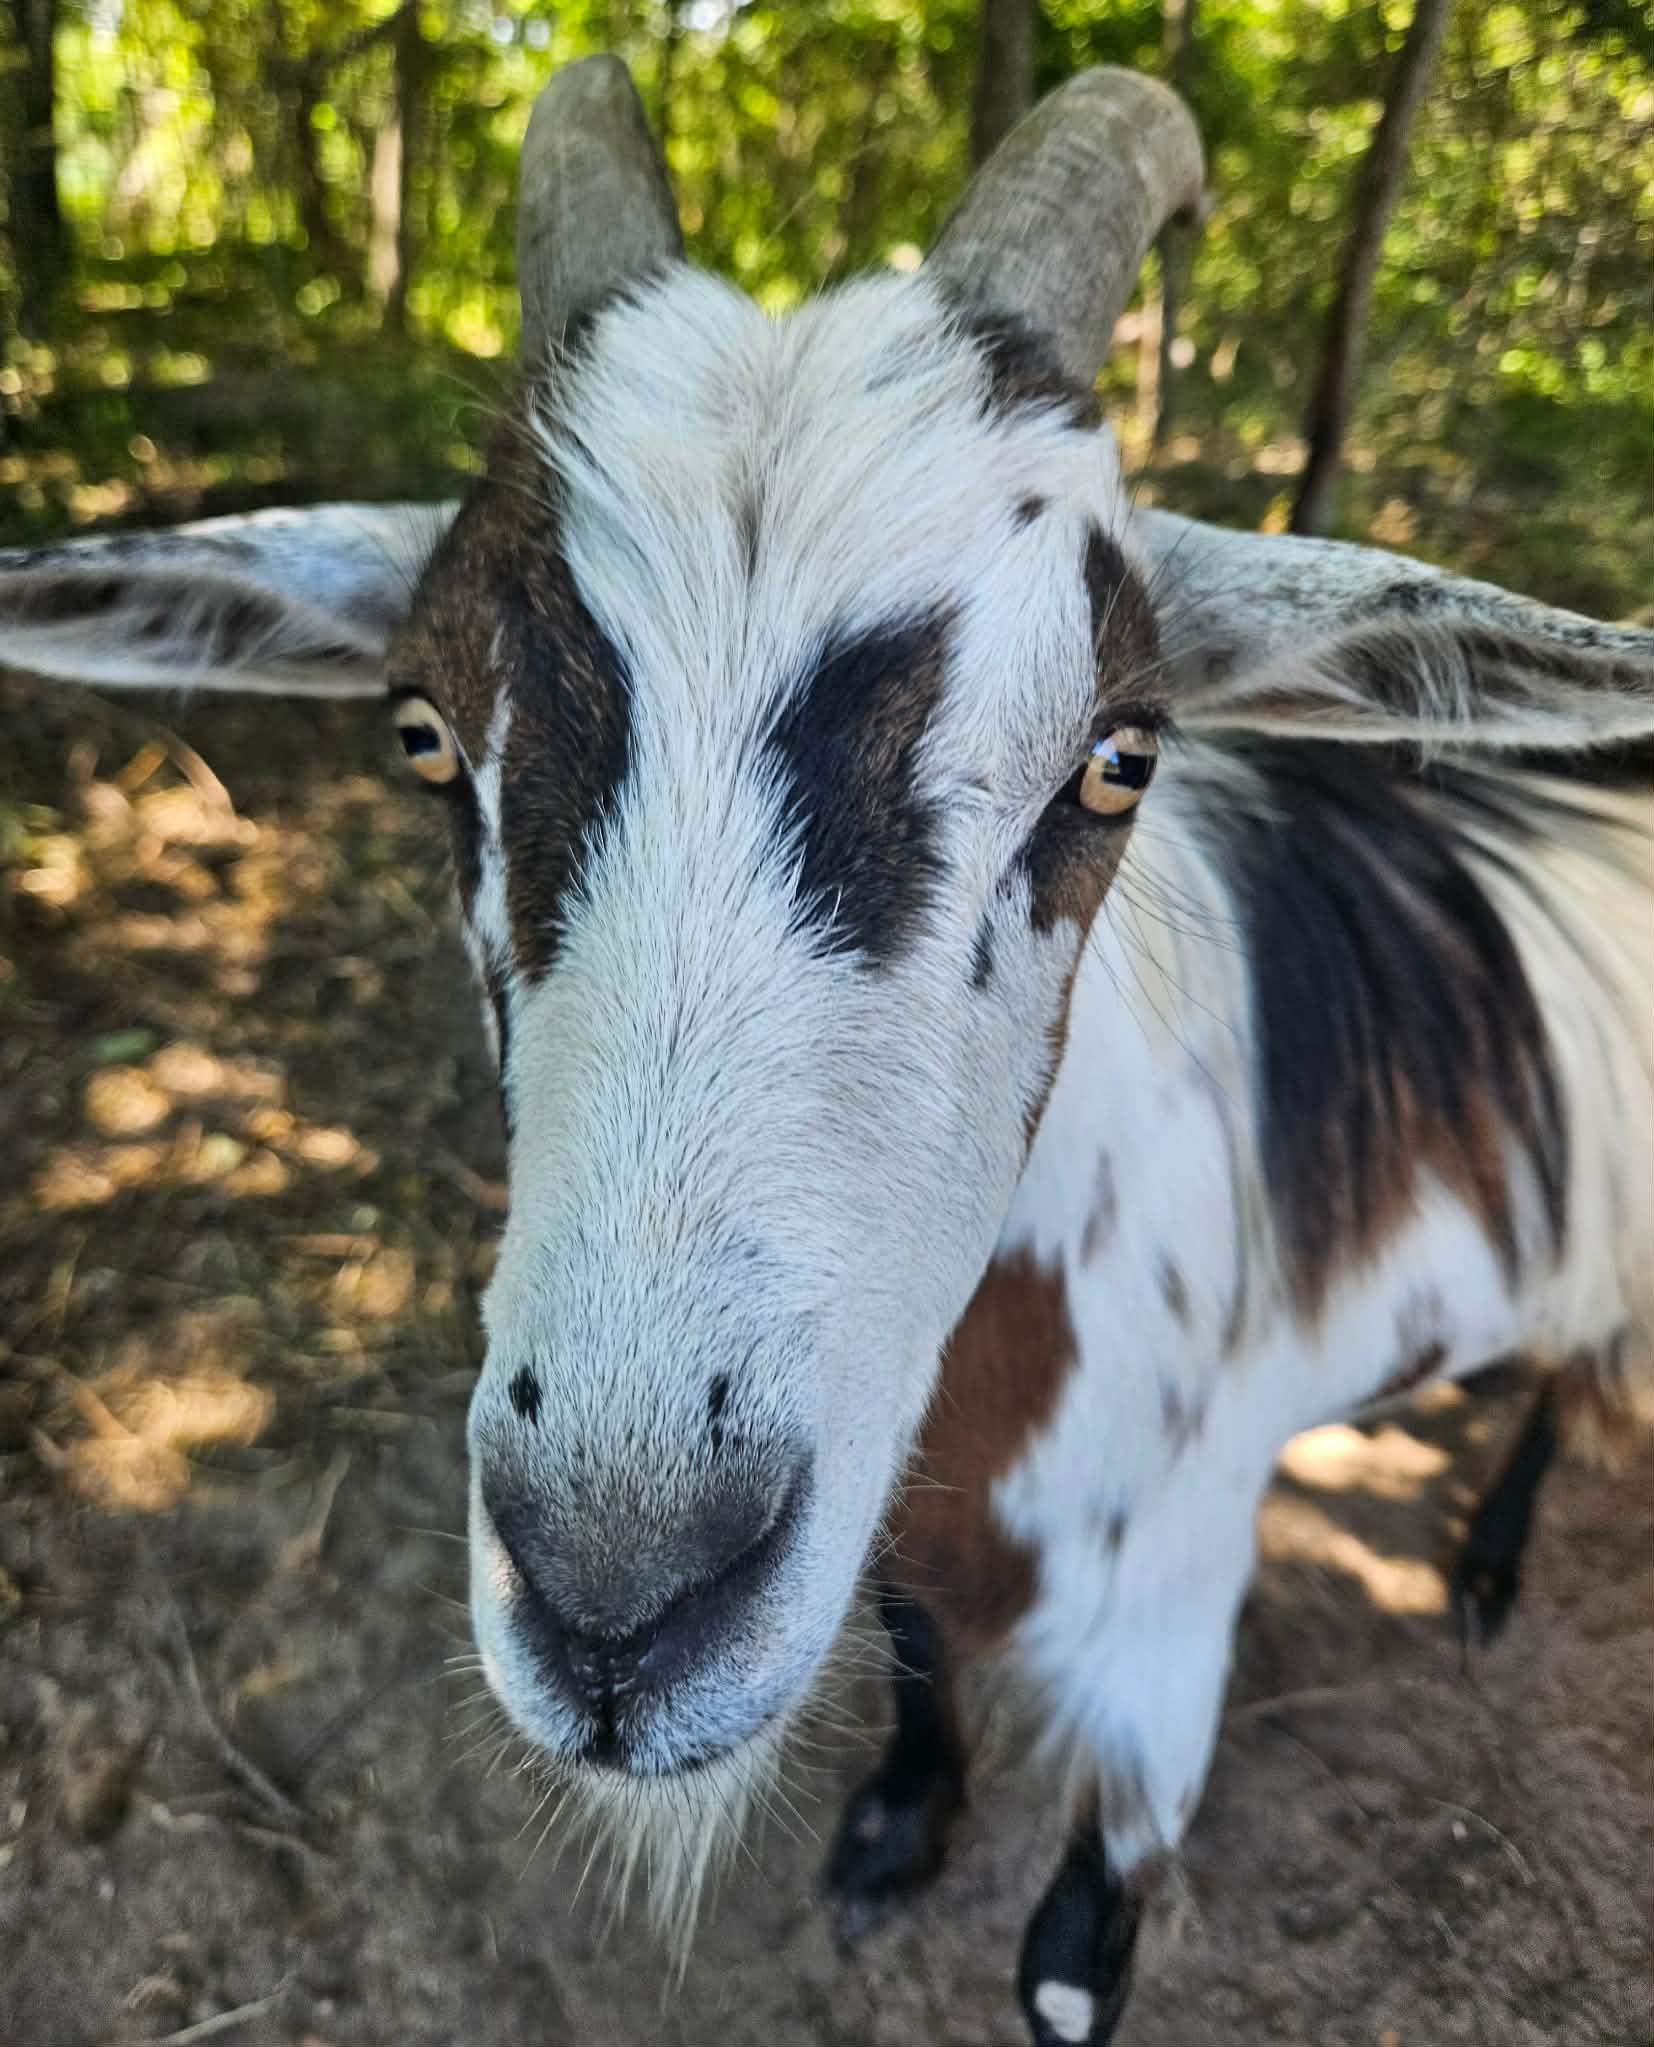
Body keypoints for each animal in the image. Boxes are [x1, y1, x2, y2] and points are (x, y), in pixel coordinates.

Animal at [3, 59, 1650, 2047]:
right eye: (417, 733)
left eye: (1118, 756)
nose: (619, 1596)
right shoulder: (899, 1529)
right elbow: (917, 1661)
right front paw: (891, 1826)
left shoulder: (1166, 1623)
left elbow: (1072, 1949)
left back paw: (1481, 1570)